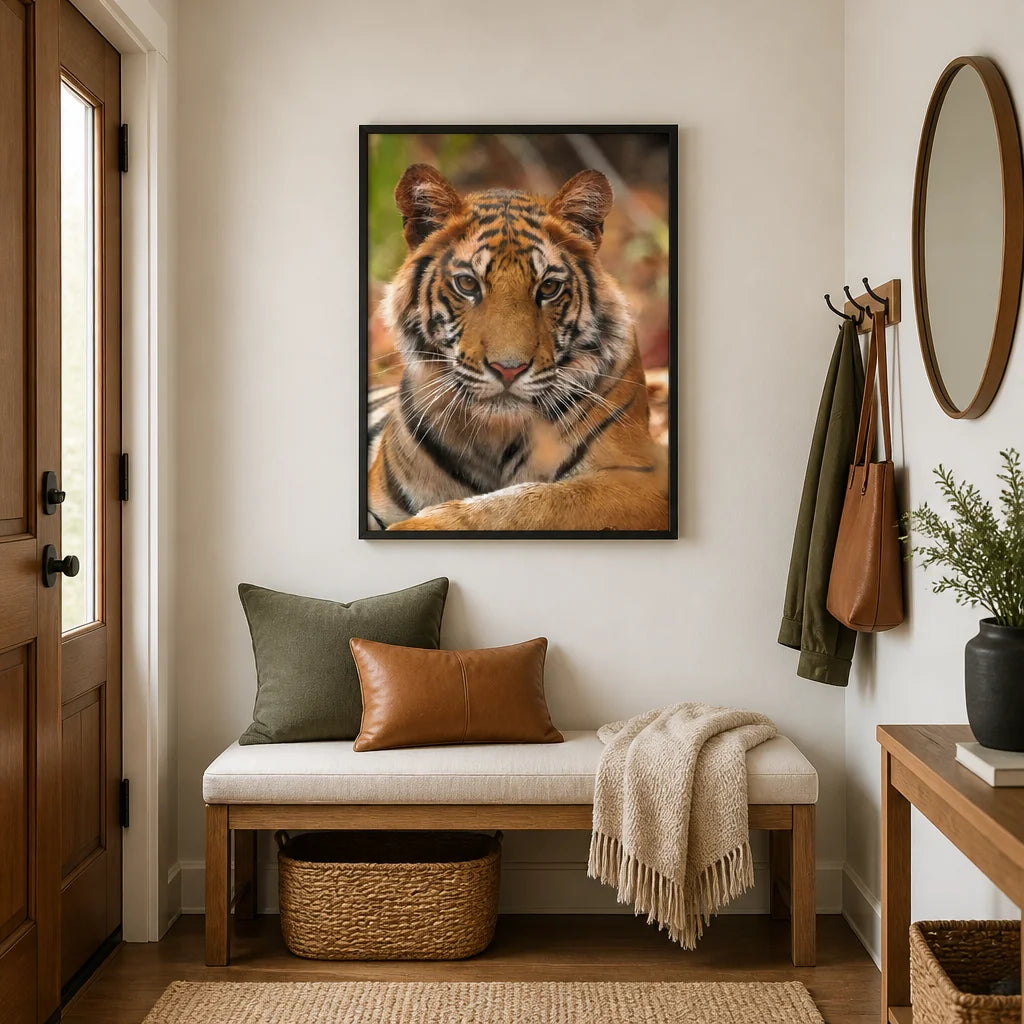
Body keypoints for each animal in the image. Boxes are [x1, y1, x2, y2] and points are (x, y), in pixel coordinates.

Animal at [367, 162, 669, 533]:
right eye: (467, 284)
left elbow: (531, 502)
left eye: (549, 287)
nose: (508, 369)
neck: (495, 435)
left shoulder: (640, 480)